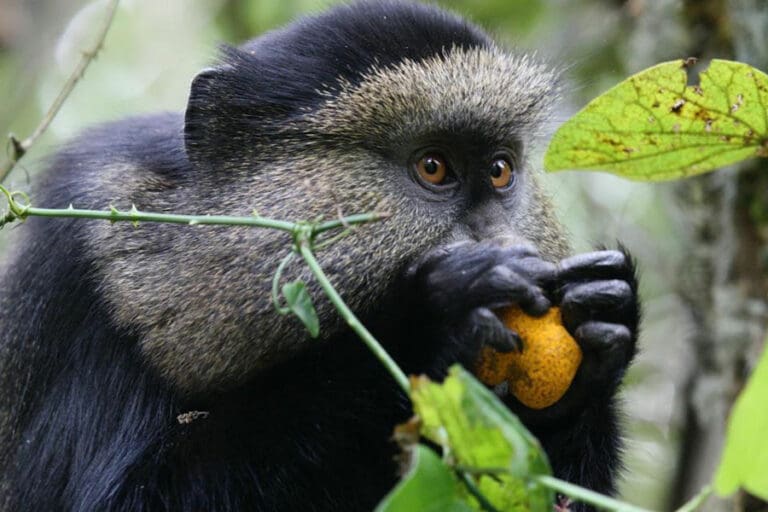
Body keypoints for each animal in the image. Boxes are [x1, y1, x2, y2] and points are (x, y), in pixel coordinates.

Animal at [0, 1, 639, 510]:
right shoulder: (89, 288)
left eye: (501, 170)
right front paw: (425, 321)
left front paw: (601, 324)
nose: (503, 245)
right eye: (434, 167)